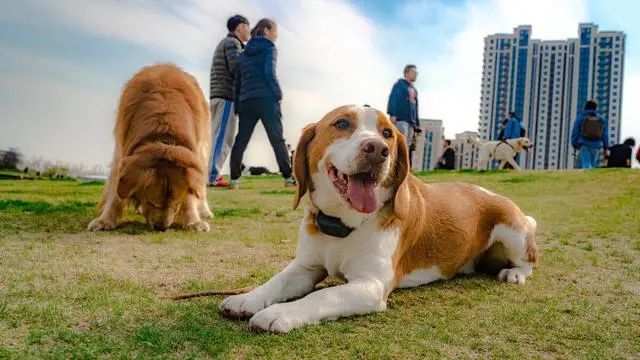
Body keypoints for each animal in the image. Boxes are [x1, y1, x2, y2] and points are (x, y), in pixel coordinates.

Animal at [87, 64, 211, 232]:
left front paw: (194, 221)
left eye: (175, 203)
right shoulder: (122, 152)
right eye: (151, 202)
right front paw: (105, 220)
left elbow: (191, 194)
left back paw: (204, 210)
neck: (163, 137)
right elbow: (116, 193)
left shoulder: (191, 158)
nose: (161, 228)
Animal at [220, 104, 540, 332]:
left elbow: (322, 296)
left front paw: (279, 313)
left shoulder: (370, 285)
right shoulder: (305, 267)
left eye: (387, 133)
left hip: (514, 232)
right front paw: (248, 298)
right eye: (341, 124)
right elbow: (277, 281)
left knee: (529, 262)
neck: (341, 225)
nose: (377, 149)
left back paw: (514, 273)